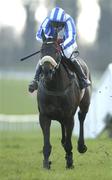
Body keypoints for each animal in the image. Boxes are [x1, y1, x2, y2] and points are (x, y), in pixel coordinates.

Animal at [37, 32, 91, 169]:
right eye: (42, 50)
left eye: (56, 51)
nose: (47, 71)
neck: (55, 86)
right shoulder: (44, 115)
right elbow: (47, 143)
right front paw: (46, 164)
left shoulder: (69, 116)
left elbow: (68, 142)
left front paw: (70, 162)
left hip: (85, 103)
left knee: (81, 116)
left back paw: (81, 146)